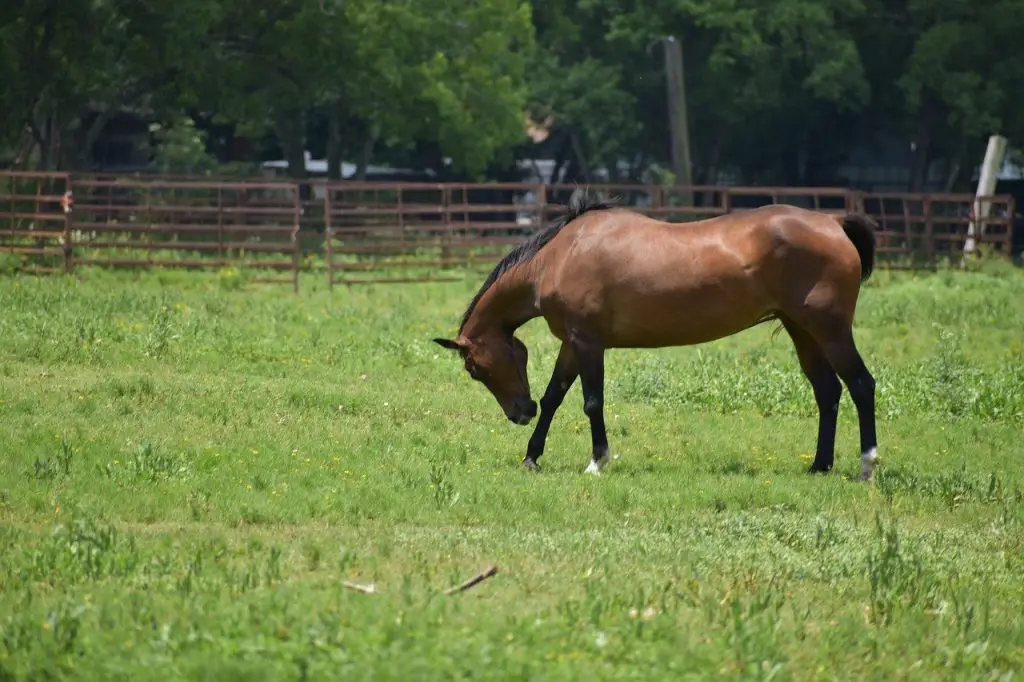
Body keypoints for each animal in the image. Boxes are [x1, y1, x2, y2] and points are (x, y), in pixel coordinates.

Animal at [432, 187, 880, 477]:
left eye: (475, 369)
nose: (519, 414)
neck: (559, 256)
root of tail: (832, 222)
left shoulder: (589, 343)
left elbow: (591, 402)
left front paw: (597, 461)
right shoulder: (572, 344)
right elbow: (554, 397)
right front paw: (531, 457)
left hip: (830, 330)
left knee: (861, 384)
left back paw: (867, 464)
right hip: (801, 329)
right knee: (827, 390)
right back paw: (819, 466)